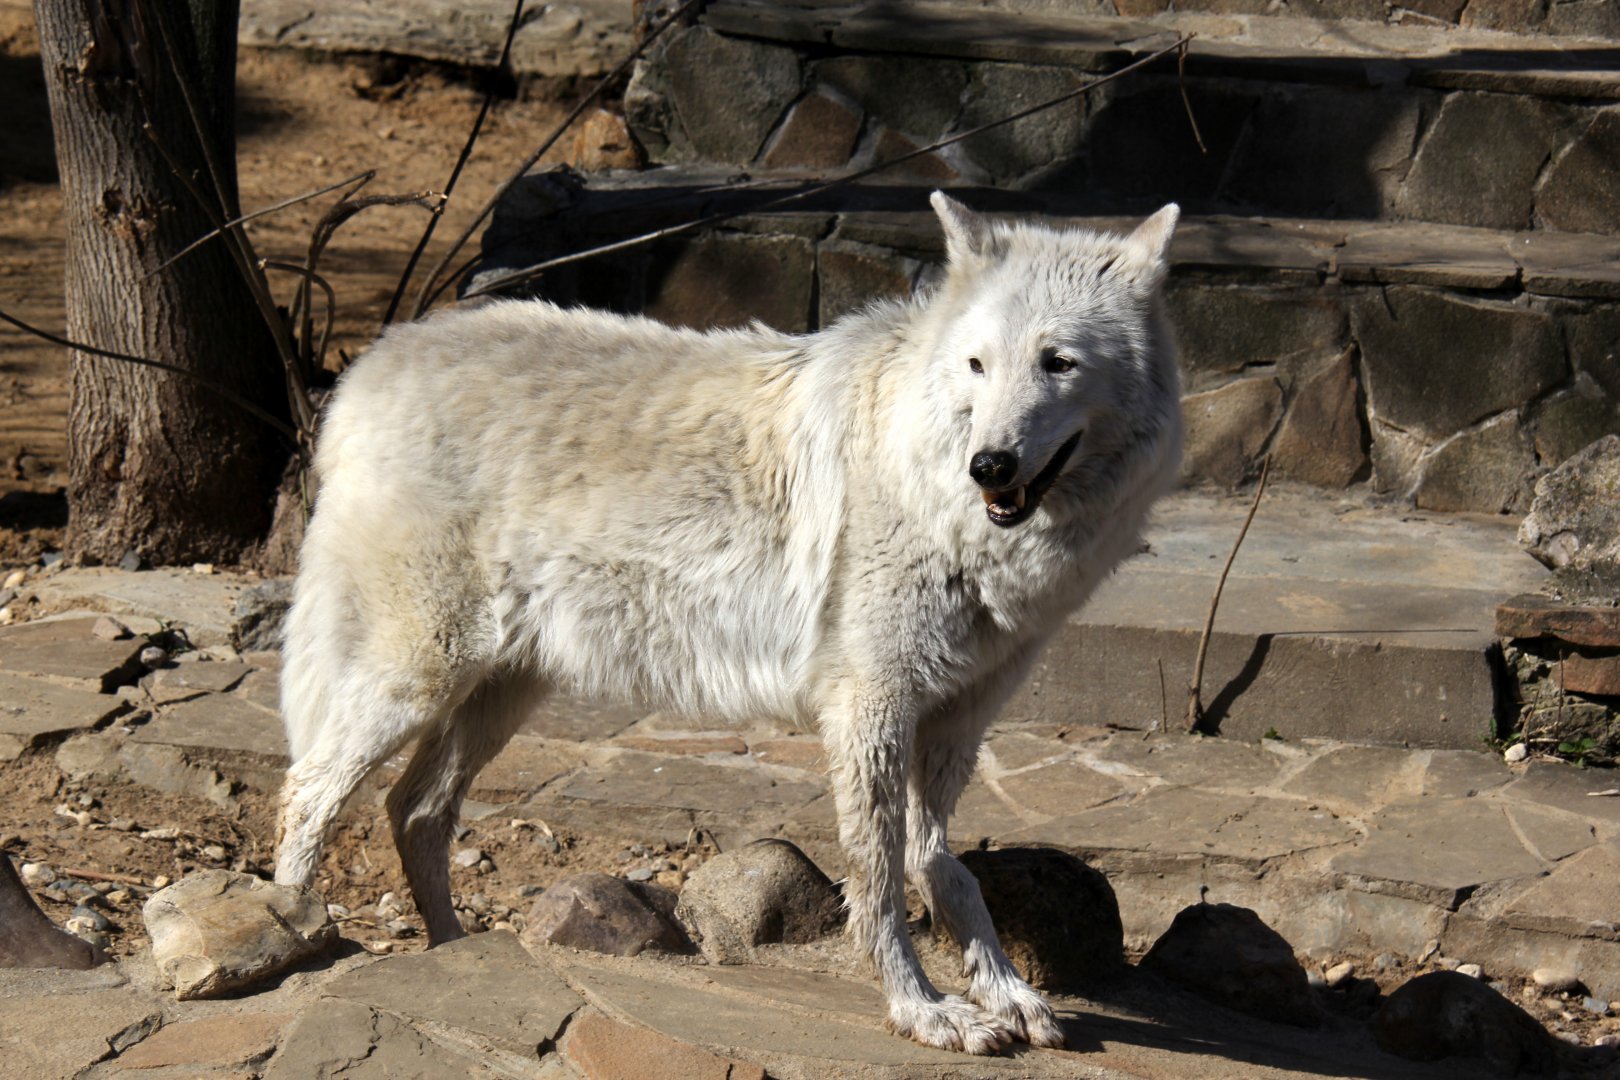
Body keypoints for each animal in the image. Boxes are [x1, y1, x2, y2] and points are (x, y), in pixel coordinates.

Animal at [273, 193, 1183, 1054]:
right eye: (977, 364)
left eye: (1058, 362)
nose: (989, 465)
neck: (938, 493)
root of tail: (370, 366)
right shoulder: (869, 704)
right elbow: (879, 875)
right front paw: (922, 1010)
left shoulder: (961, 715)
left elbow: (941, 864)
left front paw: (1003, 993)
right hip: (420, 676)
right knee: (305, 795)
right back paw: (294, 941)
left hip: (501, 694)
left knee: (413, 810)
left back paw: (452, 950)